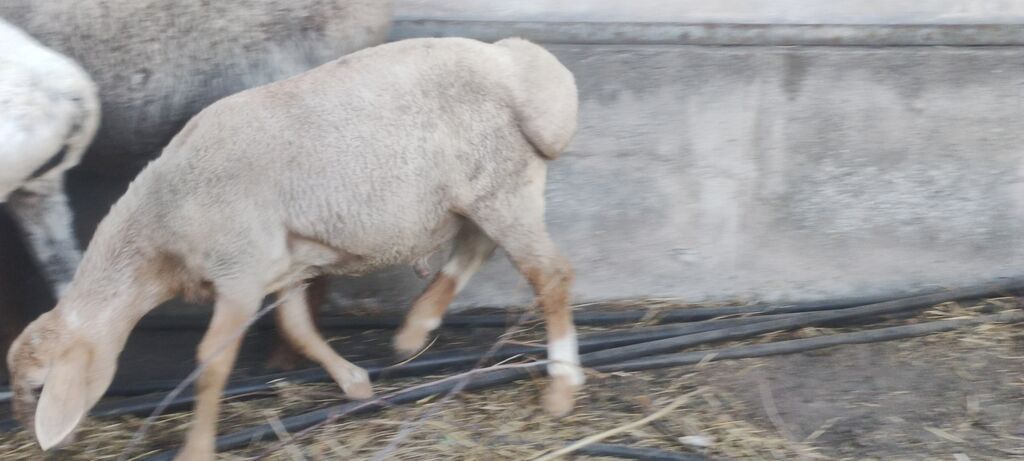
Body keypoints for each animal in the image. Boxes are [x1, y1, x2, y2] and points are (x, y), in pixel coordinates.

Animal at [7, 36, 582, 460]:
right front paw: (354, 383)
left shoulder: (238, 271)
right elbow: (298, 329)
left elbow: (211, 361)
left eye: (37, 388)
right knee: (477, 249)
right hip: (483, 192)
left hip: (501, 185)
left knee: (549, 274)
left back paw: (561, 385)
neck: (162, 226)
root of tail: (520, 66)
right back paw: (415, 328)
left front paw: (197, 448)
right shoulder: (279, 268)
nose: (38, 443)